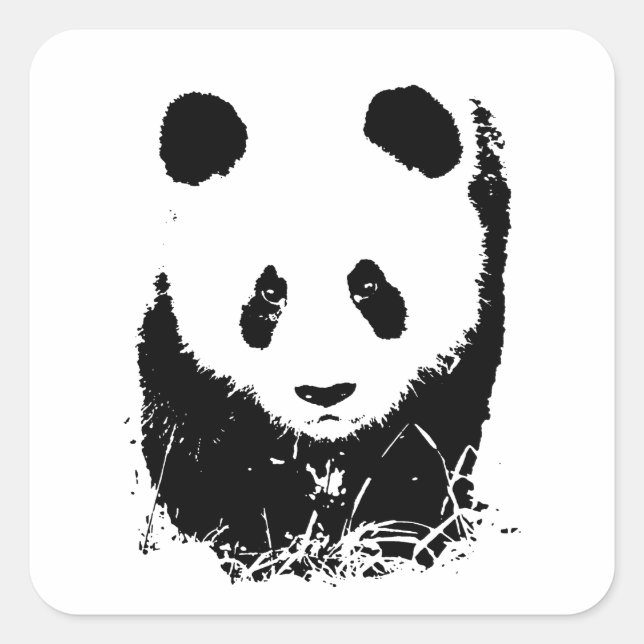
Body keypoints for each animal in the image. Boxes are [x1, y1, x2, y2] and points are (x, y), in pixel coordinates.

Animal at [137, 84, 511, 579]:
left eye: (369, 285)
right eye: (270, 292)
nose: (325, 393)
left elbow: (429, 425)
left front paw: (389, 541)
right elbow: (193, 421)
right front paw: (261, 543)